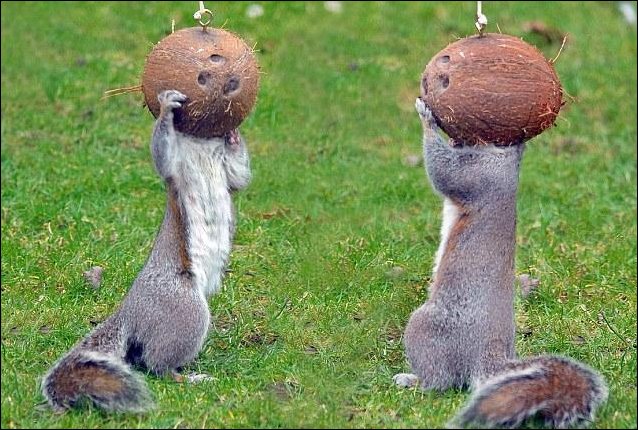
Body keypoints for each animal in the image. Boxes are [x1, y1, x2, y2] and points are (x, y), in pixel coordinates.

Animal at [41, 90, 252, 412]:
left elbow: (239, 174)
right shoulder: (174, 167)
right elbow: (162, 154)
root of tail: (130, 311)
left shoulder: (227, 171)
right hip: (184, 309)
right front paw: (166, 108)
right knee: (157, 365)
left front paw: (233, 135)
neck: (200, 146)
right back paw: (192, 378)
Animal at [392, 97, 608, 428]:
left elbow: (443, 171)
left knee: (440, 382)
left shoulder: (479, 174)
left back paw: (411, 381)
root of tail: (488, 357)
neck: (509, 157)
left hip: (426, 328)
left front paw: (426, 117)